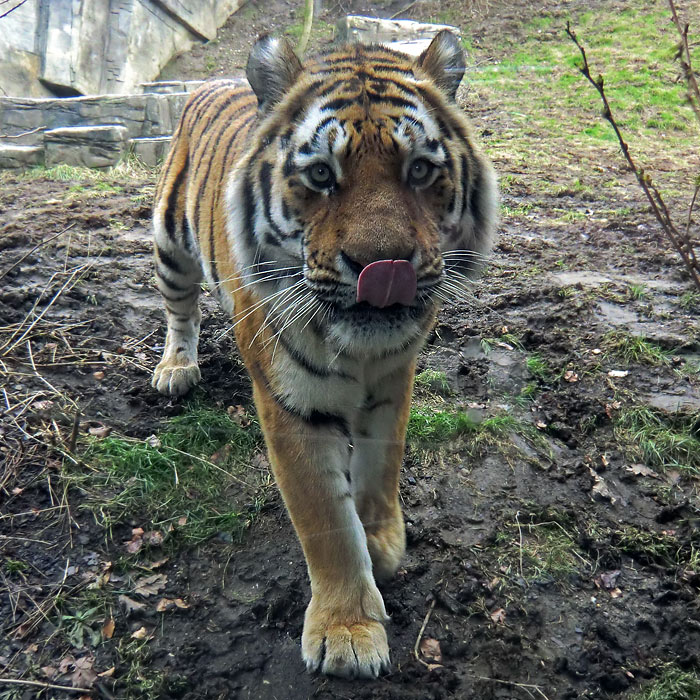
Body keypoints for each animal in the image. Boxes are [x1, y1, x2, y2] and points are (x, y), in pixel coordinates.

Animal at [150, 31, 498, 680]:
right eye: (319, 175)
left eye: (419, 169)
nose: (382, 267)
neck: (360, 349)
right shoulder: (294, 403)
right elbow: (326, 521)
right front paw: (348, 631)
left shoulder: (394, 376)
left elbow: (381, 464)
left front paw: (380, 543)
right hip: (168, 245)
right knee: (181, 309)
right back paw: (176, 368)